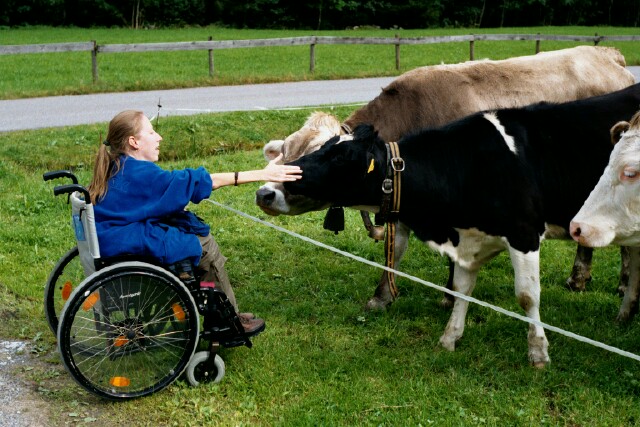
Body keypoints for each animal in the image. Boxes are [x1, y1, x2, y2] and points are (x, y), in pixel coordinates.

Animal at [254, 46, 636, 310]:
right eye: (287, 150)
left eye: (319, 154)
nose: (264, 194)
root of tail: (607, 54)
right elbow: (396, 248)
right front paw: (381, 297)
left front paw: (450, 297)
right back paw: (582, 279)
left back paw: (617, 283)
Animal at [282, 84, 640, 368]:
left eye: (339, 158)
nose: (272, 189)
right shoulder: (468, 241)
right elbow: (462, 289)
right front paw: (449, 337)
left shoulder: (524, 233)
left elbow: (527, 296)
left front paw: (538, 353)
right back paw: (625, 313)